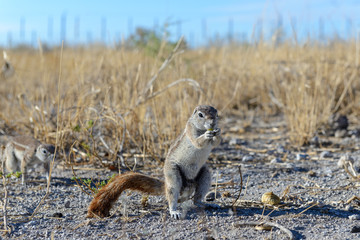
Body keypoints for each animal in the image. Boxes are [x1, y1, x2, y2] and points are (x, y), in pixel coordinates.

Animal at [88, 105, 221, 219]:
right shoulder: (190, 130)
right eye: (200, 115)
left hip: (205, 175)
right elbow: (197, 142)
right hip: (173, 175)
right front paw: (207, 134)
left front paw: (217, 132)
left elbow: (215, 143)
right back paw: (174, 211)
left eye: (216, 113)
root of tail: (187, 186)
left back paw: (209, 204)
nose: (213, 123)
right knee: (172, 197)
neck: (201, 128)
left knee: (196, 199)